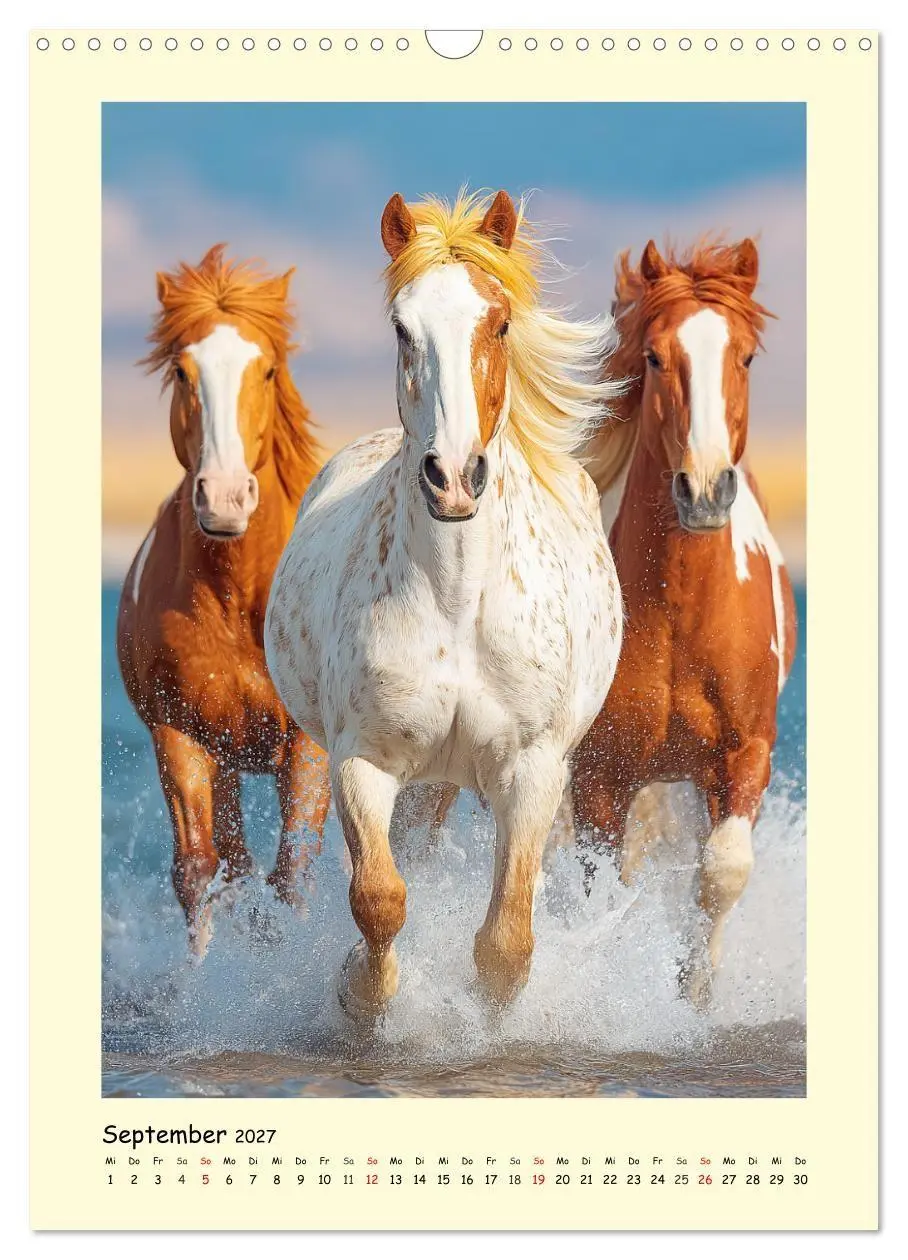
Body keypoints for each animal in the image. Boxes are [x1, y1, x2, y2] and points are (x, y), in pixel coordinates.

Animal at [117, 245, 331, 958]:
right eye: (182, 371)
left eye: (266, 369)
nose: (227, 497)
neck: (239, 602)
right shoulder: (179, 734)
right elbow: (199, 870)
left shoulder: (308, 742)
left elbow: (294, 870)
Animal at [265, 191, 624, 1014]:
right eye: (403, 327)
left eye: (500, 323)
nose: (453, 476)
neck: (458, 602)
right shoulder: (362, 761)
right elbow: (379, 898)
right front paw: (362, 998)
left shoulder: (532, 772)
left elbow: (507, 940)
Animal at [572, 238, 798, 1008]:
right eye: (653, 356)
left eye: (747, 357)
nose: (703, 490)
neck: (680, 617)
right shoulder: (598, 776)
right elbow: (603, 891)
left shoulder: (744, 755)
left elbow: (721, 871)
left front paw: (693, 989)